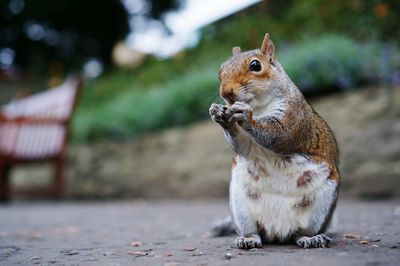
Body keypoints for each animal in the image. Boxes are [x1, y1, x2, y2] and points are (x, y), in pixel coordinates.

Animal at [209, 33, 340, 249]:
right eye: (220, 71)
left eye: (256, 65)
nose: (226, 93)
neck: (258, 108)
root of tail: (278, 232)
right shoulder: (248, 145)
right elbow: (244, 147)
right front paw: (220, 114)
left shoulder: (294, 116)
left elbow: (279, 135)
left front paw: (246, 117)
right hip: (240, 207)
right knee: (256, 233)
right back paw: (248, 239)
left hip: (321, 206)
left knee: (299, 234)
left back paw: (312, 238)